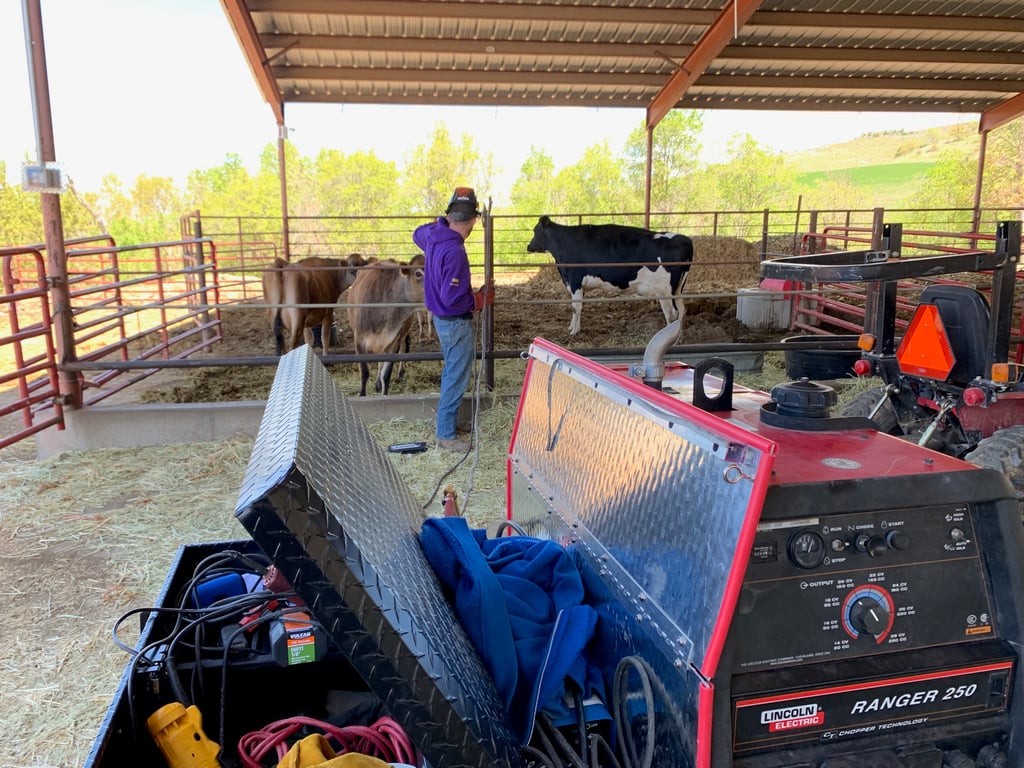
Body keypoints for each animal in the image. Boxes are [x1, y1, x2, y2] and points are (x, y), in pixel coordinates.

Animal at [346, 254, 426, 396]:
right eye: (418, 273)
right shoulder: (359, 340)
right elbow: (365, 372)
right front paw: (362, 394)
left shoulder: (393, 342)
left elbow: (386, 375)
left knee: (403, 346)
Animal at [526, 216, 694, 336]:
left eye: (535, 231)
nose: (528, 246)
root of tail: (685, 239)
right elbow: (578, 307)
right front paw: (573, 327)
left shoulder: (575, 281)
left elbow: (575, 307)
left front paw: (573, 331)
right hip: (678, 289)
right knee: (682, 310)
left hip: (664, 291)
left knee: (672, 314)